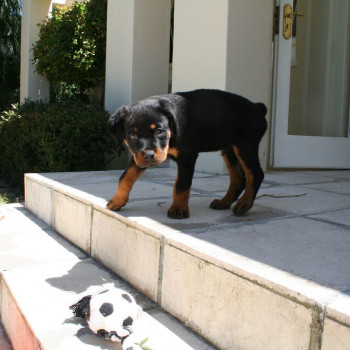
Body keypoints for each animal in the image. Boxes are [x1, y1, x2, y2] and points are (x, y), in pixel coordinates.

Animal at [108, 88, 266, 219]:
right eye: (132, 135)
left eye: (159, 131)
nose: (149, 155)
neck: (172, 132)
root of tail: (257, 107)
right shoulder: (139, 157)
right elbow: (125, 177)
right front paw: (117, 201)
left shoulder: (187, 157)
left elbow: (181, 185)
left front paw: (178, 210)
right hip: (229, 149)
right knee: (238, 177)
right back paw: (224, 202)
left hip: (245, 145)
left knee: (255, 173)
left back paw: (244, 204)